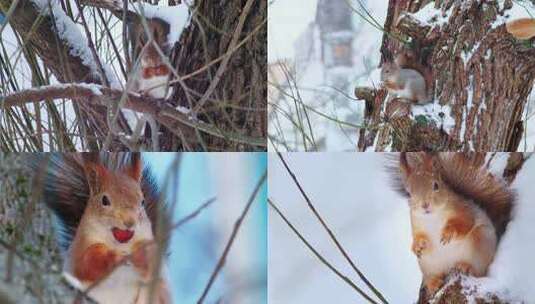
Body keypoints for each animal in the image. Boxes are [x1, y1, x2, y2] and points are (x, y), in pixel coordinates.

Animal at [32, 154, 171, 304]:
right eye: (105, 200)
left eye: (143, 202)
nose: (130, 222)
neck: (120, 244)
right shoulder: (80, 249)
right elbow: (88, 263)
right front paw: (114, 257)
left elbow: (154, 262)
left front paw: (142, 254)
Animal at [394, 153, 516, 298]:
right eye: (409, 193)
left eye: (436, 185)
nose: (425, 205)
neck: (433, 216)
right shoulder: (416, 222)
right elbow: (417, 236)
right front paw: (418, 246)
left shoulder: (464, 211)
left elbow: (464, 223)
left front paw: (448, 233)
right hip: (427, 264)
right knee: (433, 275)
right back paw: (433, 283)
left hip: (480, 241)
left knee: (479, 271)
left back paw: (466, 266)